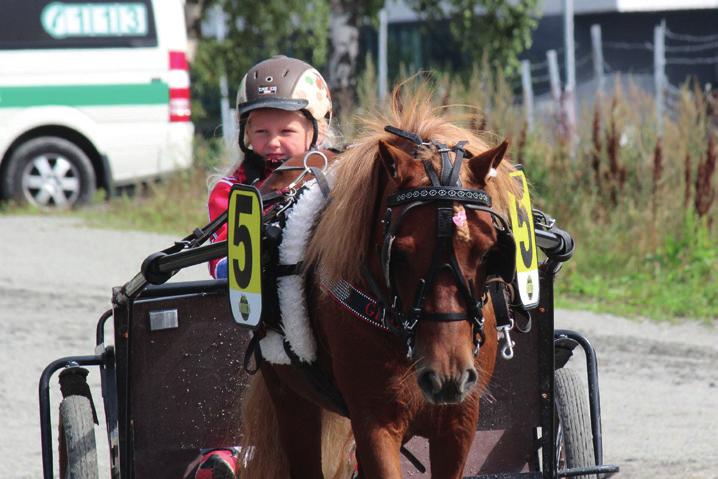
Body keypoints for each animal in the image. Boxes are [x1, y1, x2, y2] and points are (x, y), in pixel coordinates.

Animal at [245, 84, 520, 478]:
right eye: (399, 254)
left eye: (487, 252)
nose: (448, 375)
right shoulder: (374, 421)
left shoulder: (459, 422)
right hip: (289, 393)